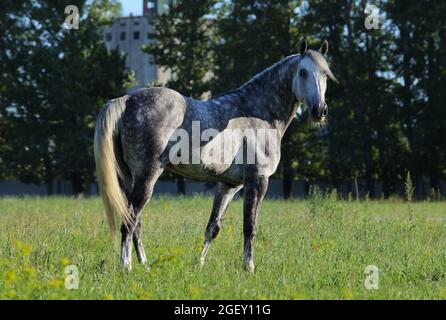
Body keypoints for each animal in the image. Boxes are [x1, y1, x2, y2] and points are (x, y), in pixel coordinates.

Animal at [96, 40, 336, 272]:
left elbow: (213, 227)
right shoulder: (257, 181)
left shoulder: (228, 186)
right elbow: (249, 227)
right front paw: (249, 267)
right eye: (302, 72)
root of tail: (127, 100)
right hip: (147, 178)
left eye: (325, 74)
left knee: (136, 223)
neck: (258, 113)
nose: (319, 110)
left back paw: (144, 265)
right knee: (130, 222)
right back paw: (126, 267)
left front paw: (199, 265)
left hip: (130, 179)